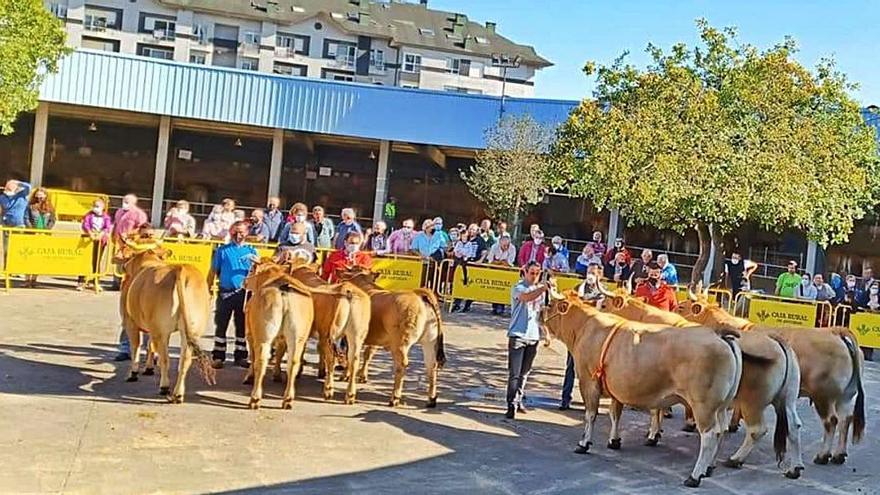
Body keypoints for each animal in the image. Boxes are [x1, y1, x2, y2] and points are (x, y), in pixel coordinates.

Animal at [115, 246, 215, 404]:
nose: (123, 267)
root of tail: (181, 269)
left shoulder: (130, 323)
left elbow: (136, 347)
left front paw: (133, 373)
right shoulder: (152, 327)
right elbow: (149, 345)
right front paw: (148, 368)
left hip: (162, 332)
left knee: (165, 359)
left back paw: (164, 387)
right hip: (191, 331)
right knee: (184, 360)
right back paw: (178, 394)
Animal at [336, 270, 446, 408]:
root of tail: (417, 293)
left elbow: (351, 355)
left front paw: (345, 375)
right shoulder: (374, 339)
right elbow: (368, 354)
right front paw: (362, 376)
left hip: (400, 343)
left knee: (402, 364)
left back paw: (395, 397)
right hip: (430, 342)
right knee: (432, 365)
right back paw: (431, 399)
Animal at [544, 294, 744, 488]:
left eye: (551, 304)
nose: (541, 312)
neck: (587, 327)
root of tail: (718, 334)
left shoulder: (589, 382)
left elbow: (590, 415)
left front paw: (583, 443)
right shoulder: (616, 387)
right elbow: (615, 414)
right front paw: (614, 441)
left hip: (704, 406)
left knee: (709, 436)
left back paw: (695, 476)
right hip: (721, 406)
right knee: (721, 431)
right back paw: (709, 467)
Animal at [600, 288, 804, 478]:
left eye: (603, 304)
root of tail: (775, 339)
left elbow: (653, 410)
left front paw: (652, 434)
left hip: (752, 403)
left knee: (756, 430)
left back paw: (734, 459)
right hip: (787, 400)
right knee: (794, 426)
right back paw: (794, 468)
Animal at [676, 296, 864, 466]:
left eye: (681, 307)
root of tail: (836, 331)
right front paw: (733, 423)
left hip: (823, 396)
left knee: (831, 421)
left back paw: (822, 455)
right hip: (845, 396)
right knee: (845, 419)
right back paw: (839, 455)